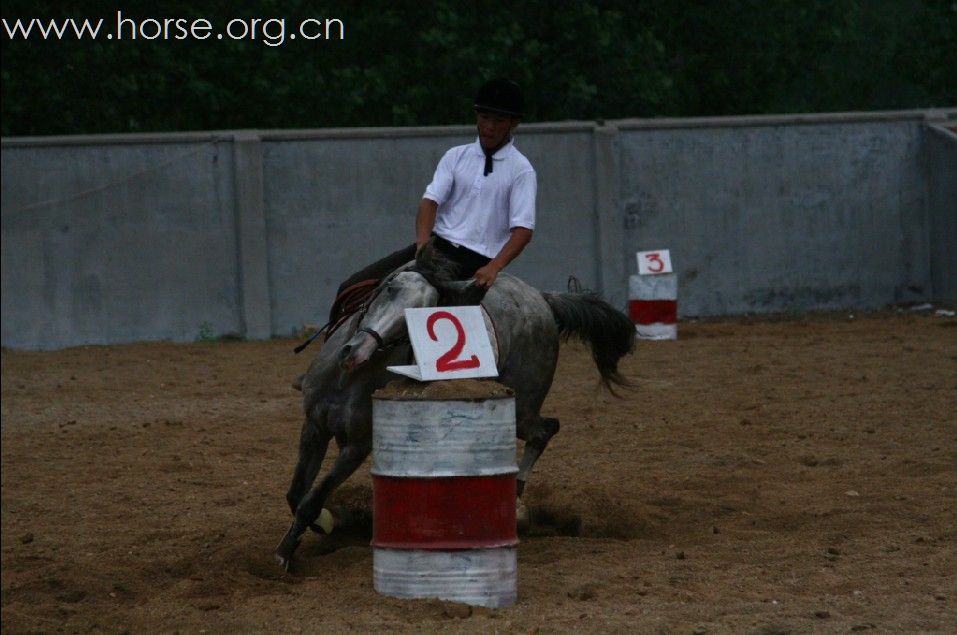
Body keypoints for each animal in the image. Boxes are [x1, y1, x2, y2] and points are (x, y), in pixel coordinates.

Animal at [274, 251, 636, 568]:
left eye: (415, 317)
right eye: (389, 288)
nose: (355, 351)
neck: (349, 377)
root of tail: (543, 299)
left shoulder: (357, 446)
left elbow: (312, 498)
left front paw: (287, 551)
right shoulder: (314, 426)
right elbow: (296, 494)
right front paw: (325, 524)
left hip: (521, 407)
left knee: (546, 429)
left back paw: (516, 502)